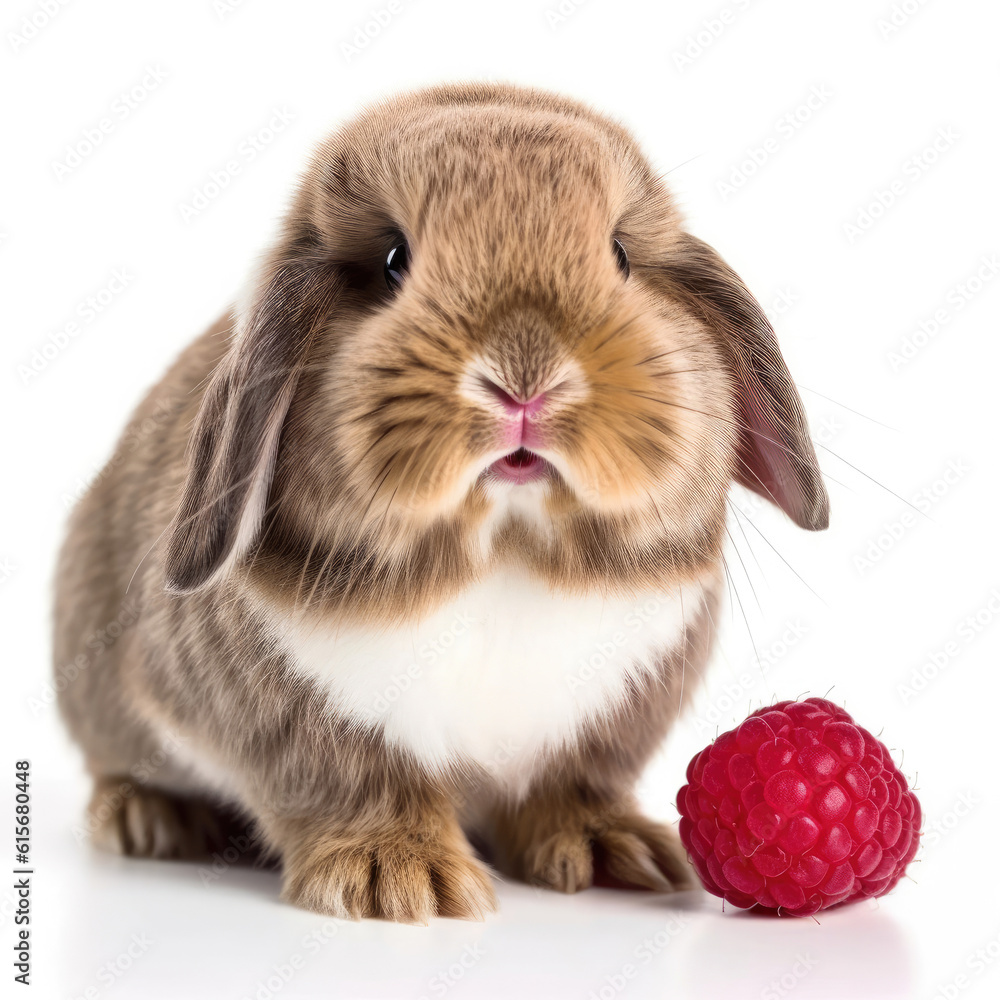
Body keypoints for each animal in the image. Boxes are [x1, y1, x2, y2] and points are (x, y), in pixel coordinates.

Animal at [52, 84, 828, 920]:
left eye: (620, 254)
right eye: (394, 259)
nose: (525, 377)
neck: (503, 558)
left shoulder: (608, 724)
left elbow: (570, 787)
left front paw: (613, 851)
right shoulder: (291, 725)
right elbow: (350, 783)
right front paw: (396, 878)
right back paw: (150, 820)